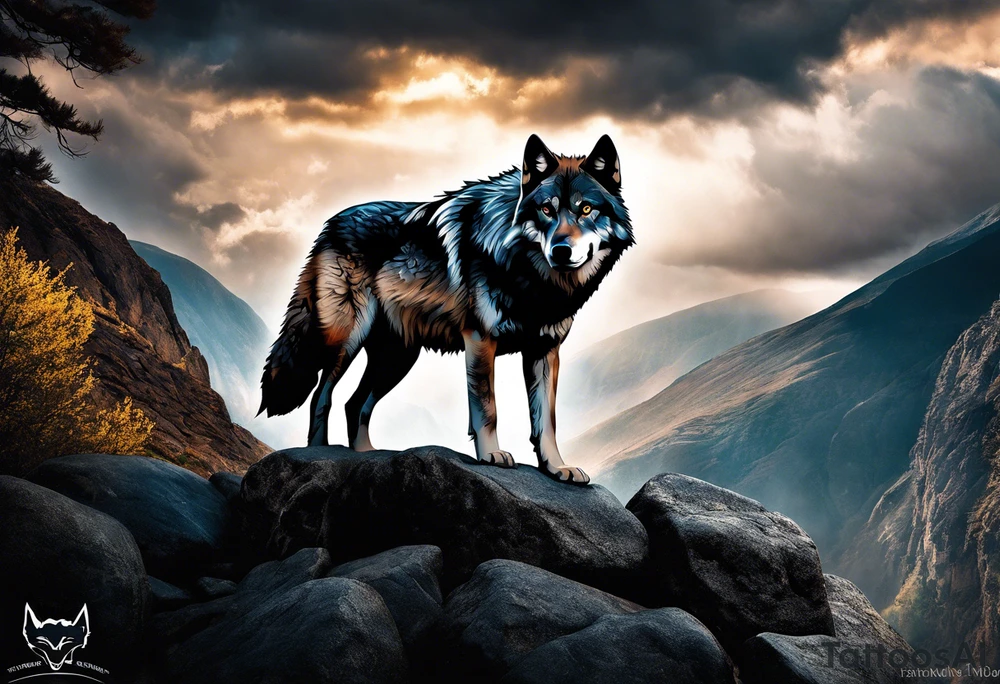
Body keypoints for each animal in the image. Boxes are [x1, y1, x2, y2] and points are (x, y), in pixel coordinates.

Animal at [259, 134, 633, 485]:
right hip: (348, 340)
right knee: (322, 395)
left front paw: (557, 468)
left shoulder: (545, 350)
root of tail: (328, 226)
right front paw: (492, 455)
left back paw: (367, 456)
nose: (560, 250)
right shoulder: (481, 339)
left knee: (355, 404)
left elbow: (547, 421)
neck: (531, 279)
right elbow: (487, 407)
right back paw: (319, 452)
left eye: (586, 210)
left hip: (397, 359)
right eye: (546, 209)